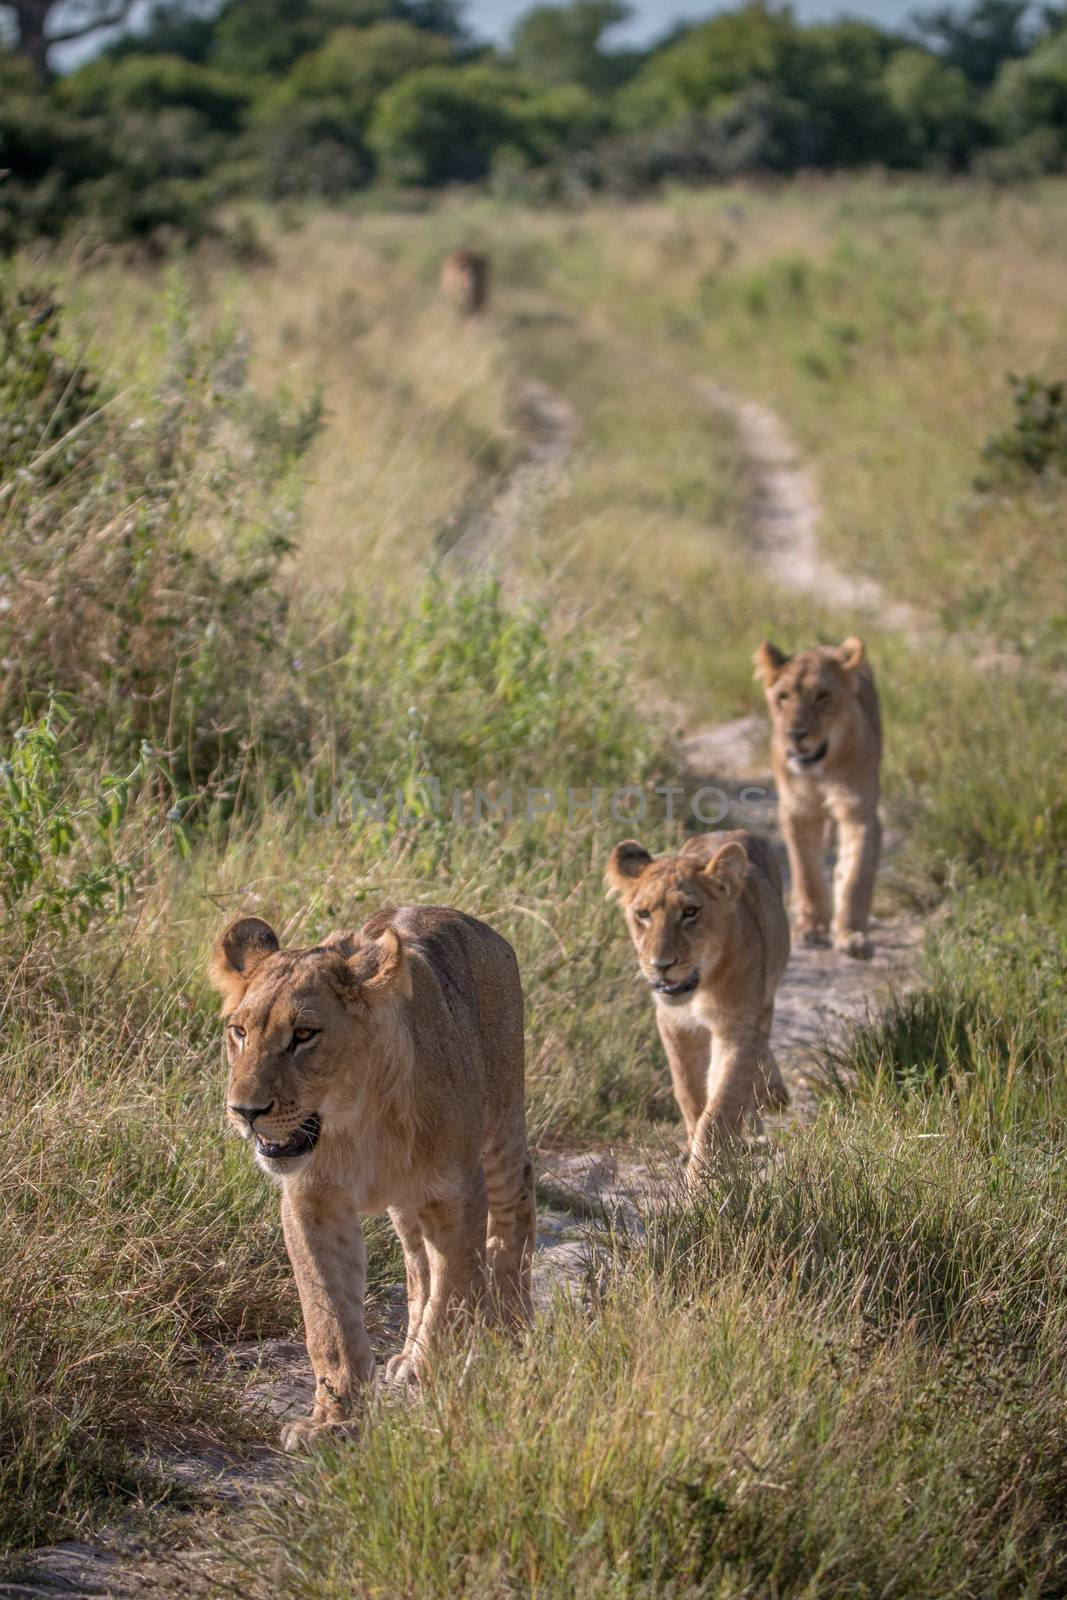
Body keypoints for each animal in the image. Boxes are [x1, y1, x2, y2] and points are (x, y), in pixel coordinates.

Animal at [209, 902, 537, 1452]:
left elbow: (452, 1296)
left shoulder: (456, 1194)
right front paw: (334, 1421)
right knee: (417, 1265)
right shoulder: (312, 1202)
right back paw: (408, 1353)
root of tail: (471, 921)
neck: (355, 1119)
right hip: (406, 1203)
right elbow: (330, 1319)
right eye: (240, 1032)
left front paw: (435, 1381)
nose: (245, 1112)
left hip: (501, 1128)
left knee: (517, 1203)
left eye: (304, 1035)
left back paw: (512, 1331)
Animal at [604, 825, 790, 1177]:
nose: (661, 964)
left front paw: (705, 1176)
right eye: (643, 914)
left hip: (767, 997)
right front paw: (693, 1149)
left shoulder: (737, 1027)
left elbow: (721, 1107)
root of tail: (731, 829)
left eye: (690, 912)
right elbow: (688, 1090)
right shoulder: (674, 1023)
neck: (703, 985)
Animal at [755, 633, 889, 960]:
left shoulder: (859, 812)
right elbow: (806, 871)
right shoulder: (797, 810)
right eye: (783, 697)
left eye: (822, 696)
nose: (795, 734)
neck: (821, 770)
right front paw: (811, 927)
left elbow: (856, 875)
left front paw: (851, 935)